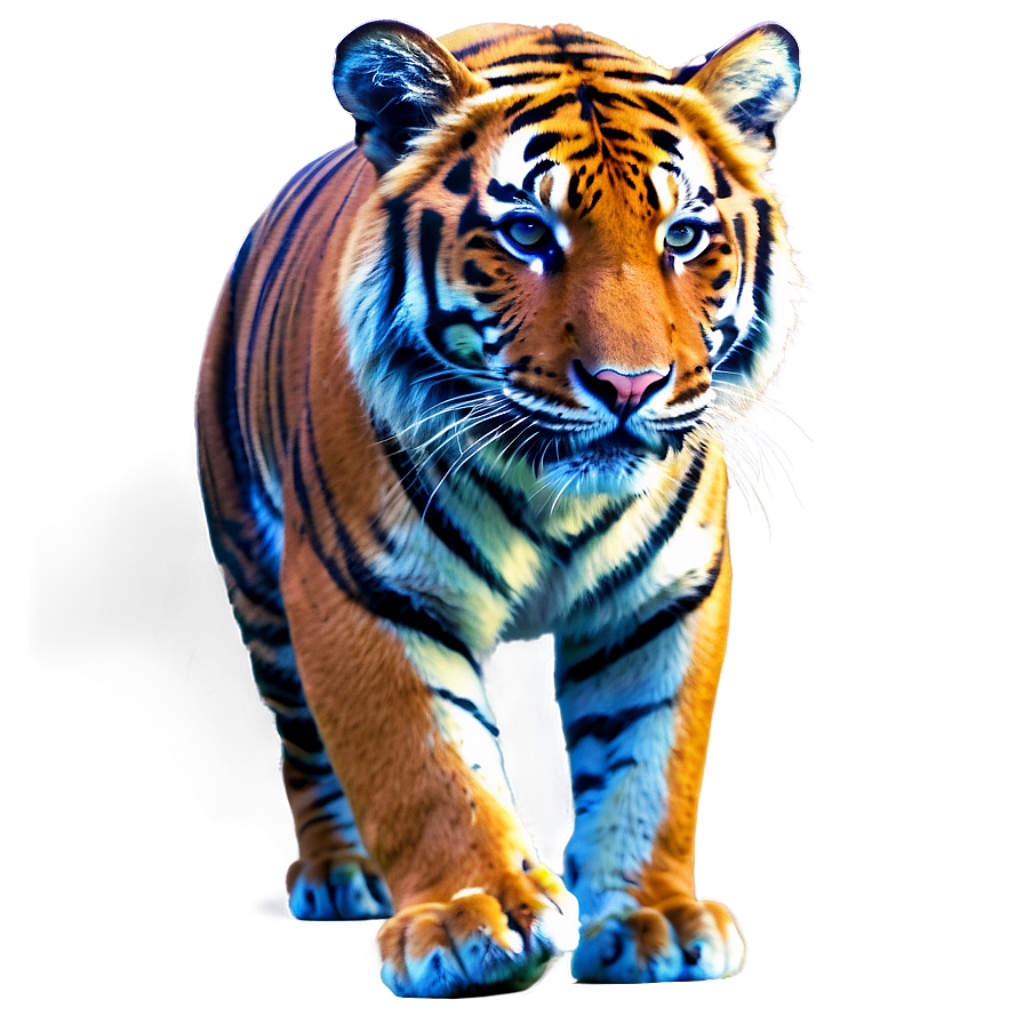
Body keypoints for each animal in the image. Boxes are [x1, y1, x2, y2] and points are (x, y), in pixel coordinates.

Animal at [195, 18, 806, 995]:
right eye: (527, 233)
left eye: (682, 235)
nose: (629, 386)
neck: (551, 494)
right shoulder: (365, 589)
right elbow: (424, 763)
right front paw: (473, 917)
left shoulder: (667, 597)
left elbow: (652, 765)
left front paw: (655, 922)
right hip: (257, 580)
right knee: (304, 744)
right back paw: (338, 876)